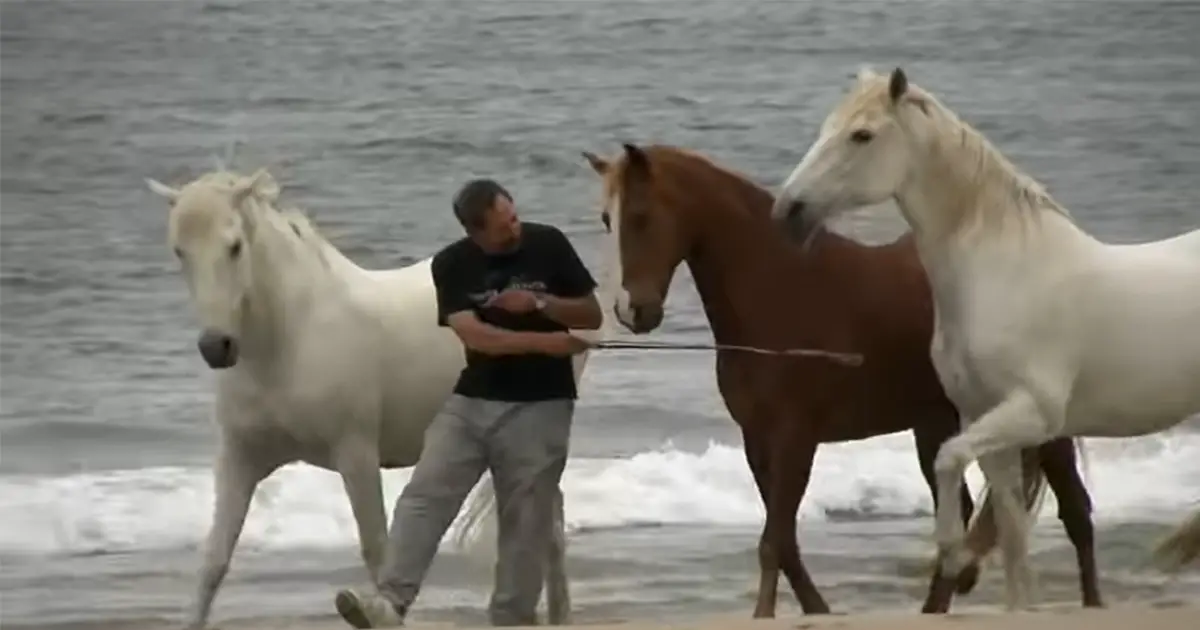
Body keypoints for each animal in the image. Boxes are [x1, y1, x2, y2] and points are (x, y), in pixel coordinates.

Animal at [578, 142, 1099, 614]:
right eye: (606, 220)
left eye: (641, 216)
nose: (632, 312)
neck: (781, 289)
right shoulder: (757, 441)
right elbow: (783, 541)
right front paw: (817, 611)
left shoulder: (796, 439)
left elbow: (773, 541)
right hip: (933, 425)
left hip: (1041, 428)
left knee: (1076, 513)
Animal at [768, 67, 1200, 609]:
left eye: (861, 135)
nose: (787, 210)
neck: (1003, 273)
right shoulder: (985, 421)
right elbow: (1013, 537)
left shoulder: (1030, 414)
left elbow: (947, 458)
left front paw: (954, 555)